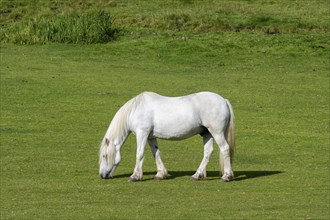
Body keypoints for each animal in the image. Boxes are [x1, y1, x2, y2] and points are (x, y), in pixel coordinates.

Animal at [98, 91, 235, 182]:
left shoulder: (142, 133)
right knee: (208, 152)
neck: (135, 110)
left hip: (216, 132)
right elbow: (156, 154)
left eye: (104, 156)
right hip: (207, 133)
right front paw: (160, 174)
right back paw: (197, 175)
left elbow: (139, 154)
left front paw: (135, 176)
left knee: (225, 149)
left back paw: (226, 176)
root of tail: (224, 100)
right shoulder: (150, 137)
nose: (102, 175)